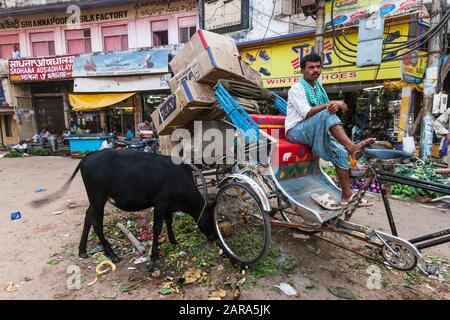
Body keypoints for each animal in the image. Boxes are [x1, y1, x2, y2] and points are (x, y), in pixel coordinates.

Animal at [32, 149, 215, 270]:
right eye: (211, 217)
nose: (214, 236)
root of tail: (87, 157)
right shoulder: (161, 202)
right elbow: (157, 227)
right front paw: (154, 256)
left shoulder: (168, 203)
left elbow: (168, 222)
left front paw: (173, 241)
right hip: (98, 197)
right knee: (96, 223)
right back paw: (112, 254)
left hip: (94, 199)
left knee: (88, 217)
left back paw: (82, 250)